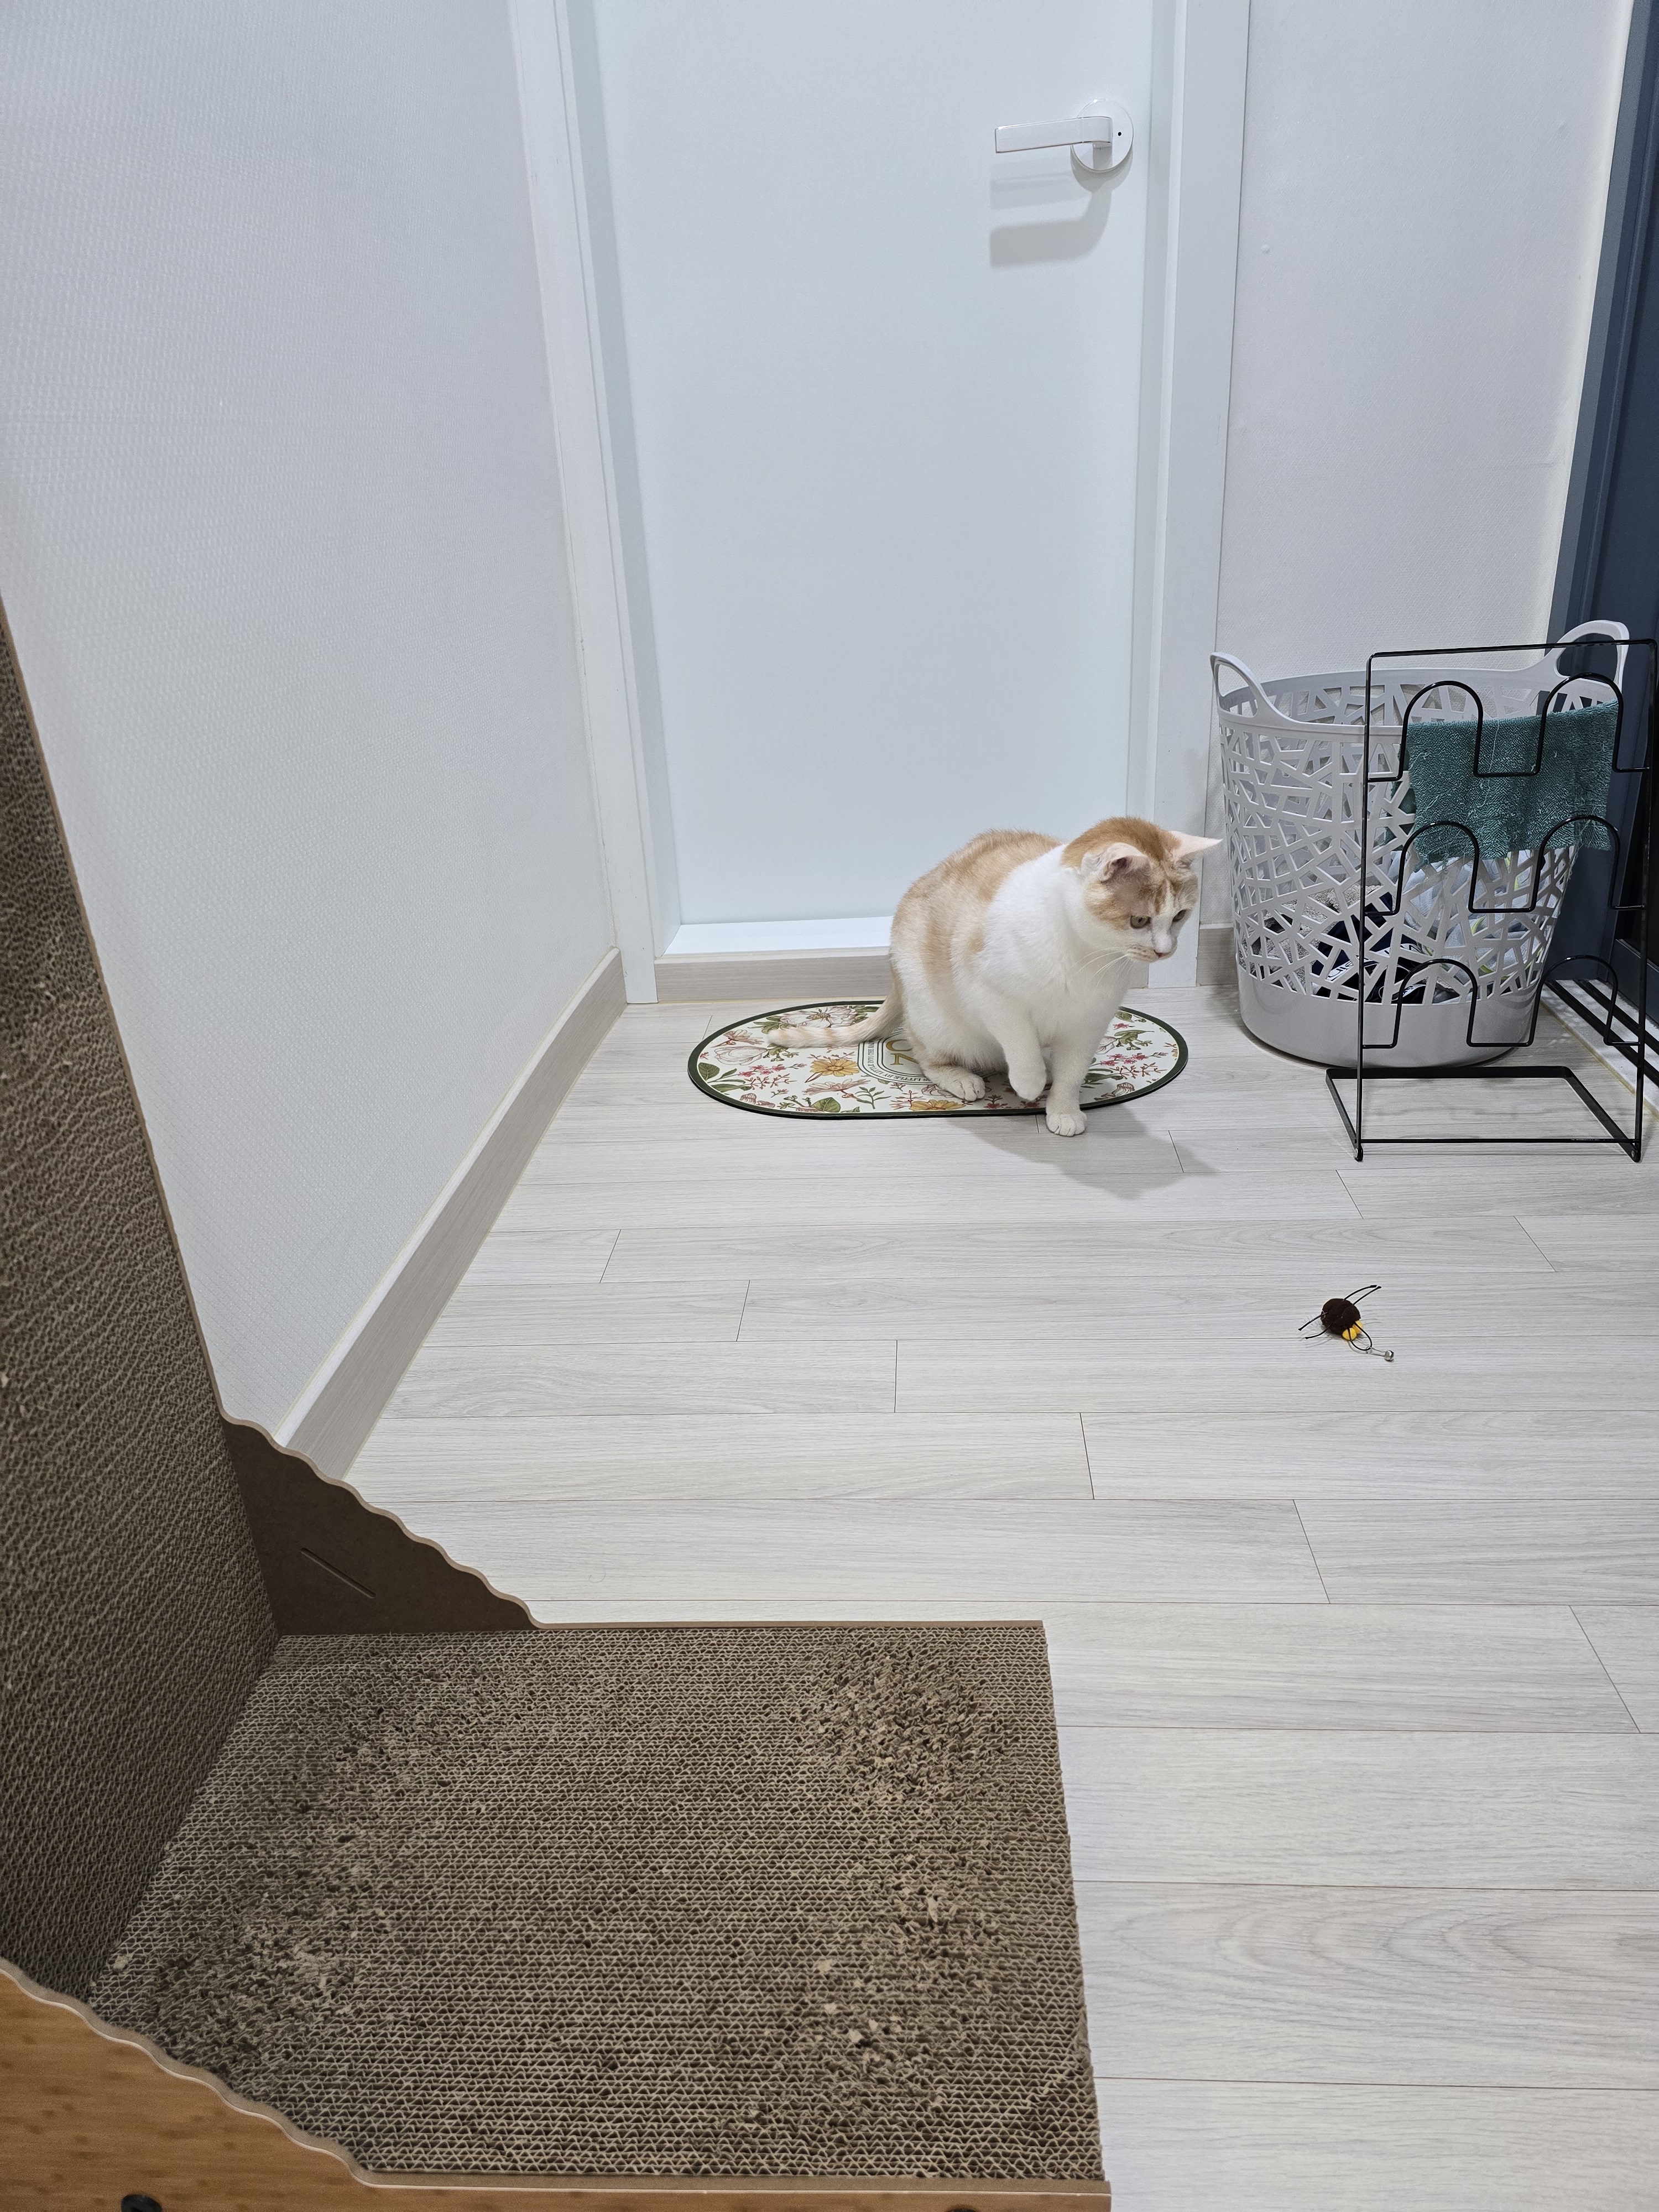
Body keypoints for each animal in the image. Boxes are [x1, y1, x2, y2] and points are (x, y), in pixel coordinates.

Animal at [777, 816, 1216, 1134]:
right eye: (1139, 920)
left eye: (1180, 916)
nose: (1166, 950)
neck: (1083, 953)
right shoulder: (989, 993)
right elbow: (1019, 1040)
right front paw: (1029, 1081)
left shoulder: (1089, 1022)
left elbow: (1073, 1072)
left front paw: (1062, 1108)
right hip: (937, 1019)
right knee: (926, 1055)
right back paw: (962, 1078)